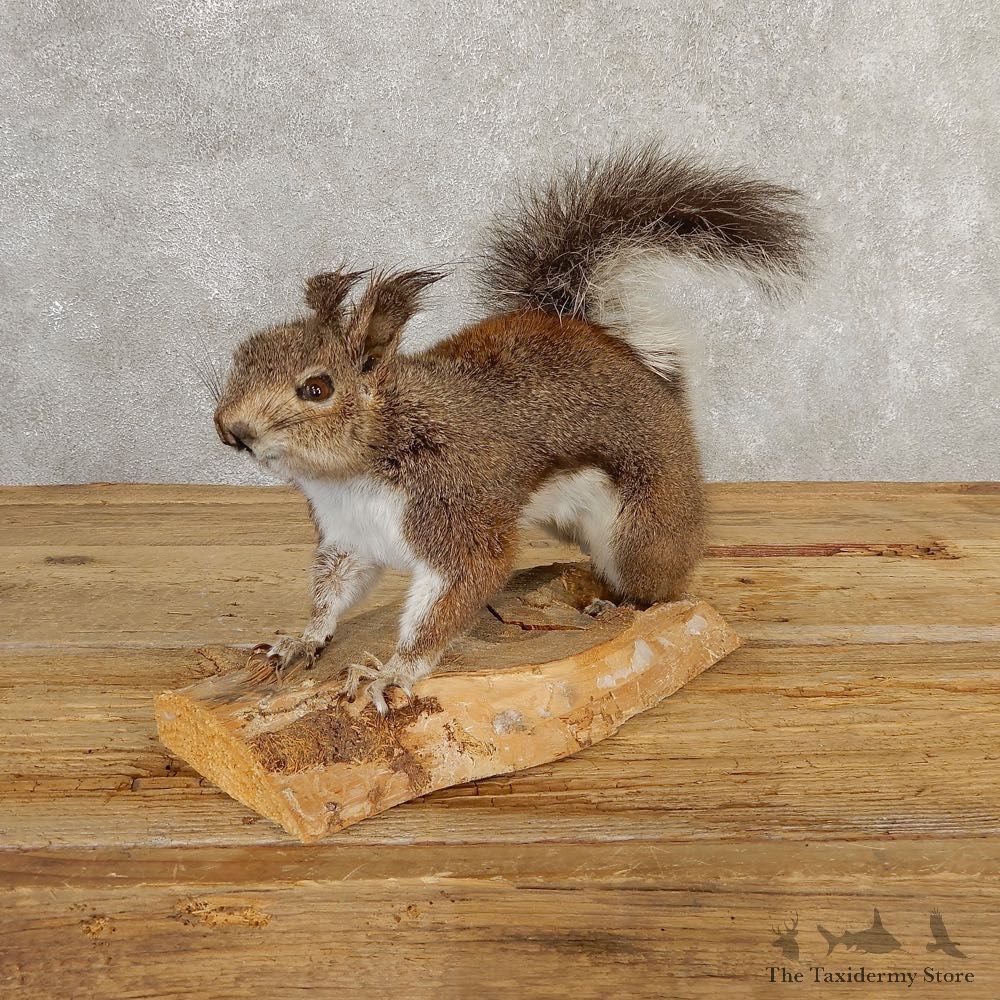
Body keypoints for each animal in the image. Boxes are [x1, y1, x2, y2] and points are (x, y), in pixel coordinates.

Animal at [214, 143, 810, 713]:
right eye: (244, 354)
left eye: (317, 388)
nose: (230, 430)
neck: (356, 470)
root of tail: (638, 365)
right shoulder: (347, 538)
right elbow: (333, 590)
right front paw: (303, 638)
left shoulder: (458, 514)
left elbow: (454, 596)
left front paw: (394, 671)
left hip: (643, 525)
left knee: (661, 586)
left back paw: (619, 604)